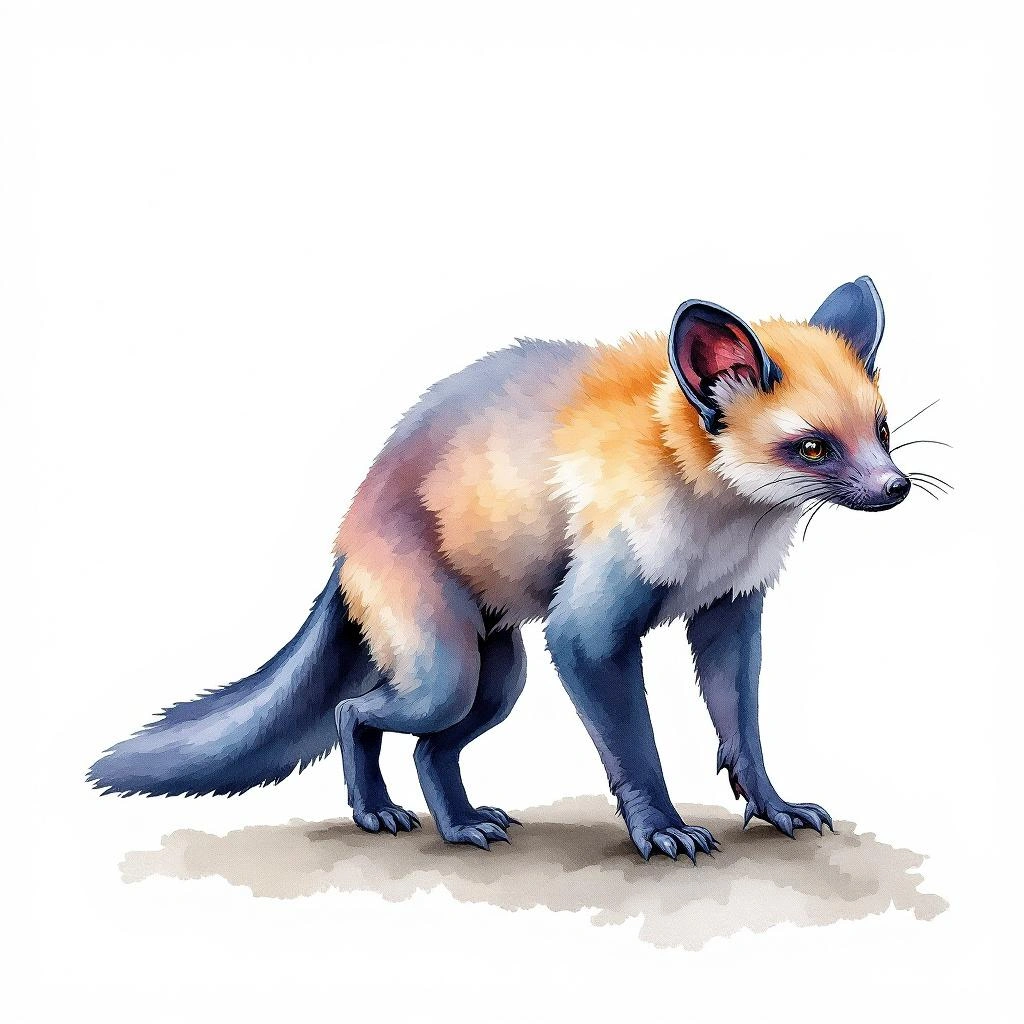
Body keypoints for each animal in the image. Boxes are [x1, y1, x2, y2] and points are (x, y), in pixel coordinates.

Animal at [90, 276, 917, 863]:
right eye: (812, 447)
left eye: (880, 430)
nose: (898, 487)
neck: (719, 525)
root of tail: (345, 538)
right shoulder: (586, 633)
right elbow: (637, 751)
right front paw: (662, 831)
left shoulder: (729, 611)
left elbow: (742, 730)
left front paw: (775, 810)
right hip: (446, 673)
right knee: (354, 712)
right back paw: (378, 813)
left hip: (499, 678)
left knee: (427, 748)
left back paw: (459, 824)